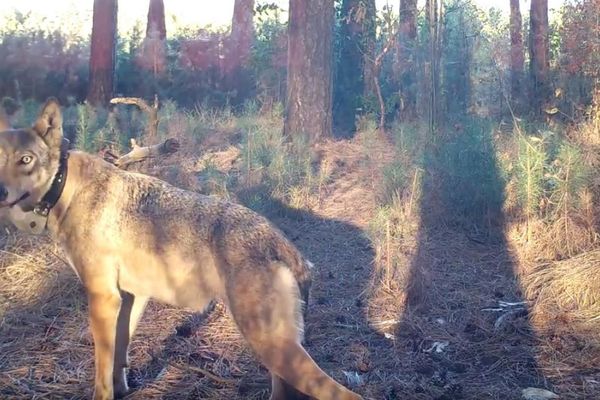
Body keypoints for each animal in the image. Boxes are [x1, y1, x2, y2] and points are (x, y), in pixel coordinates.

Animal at [0, 99, 360, 400]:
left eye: (26, 160)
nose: (1, 191)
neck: (66, 188)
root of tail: (285, 245)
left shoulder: (103, 297)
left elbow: (102, 373)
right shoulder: (131, 297)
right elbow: (119, 358)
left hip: (273, 347)